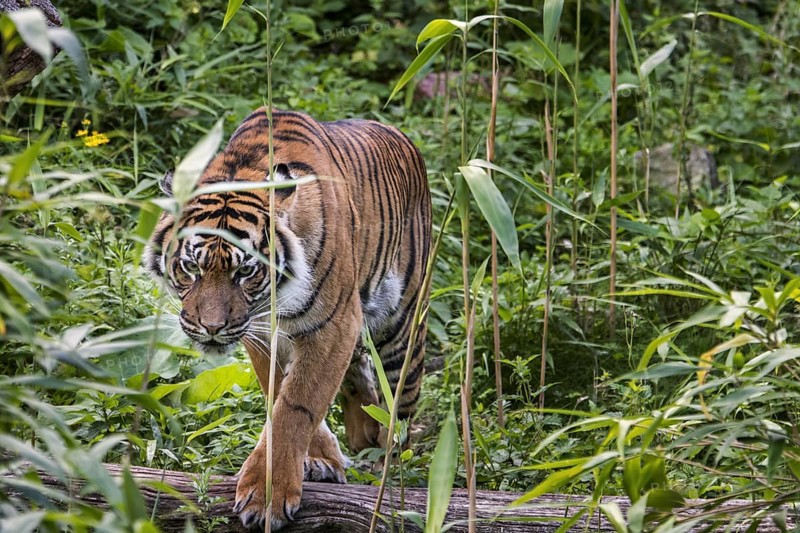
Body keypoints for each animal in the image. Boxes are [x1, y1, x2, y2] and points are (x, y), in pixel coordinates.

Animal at [145, 108, 431, 530]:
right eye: (191, 268)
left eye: (245, 272)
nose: (211, 329)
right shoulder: (262, 333)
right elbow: (280, 391)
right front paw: (322, 459)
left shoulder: (333, 323)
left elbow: (297, 404)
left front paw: (267, 494)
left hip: (402, 329)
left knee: (399, 411)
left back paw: (388, 471)